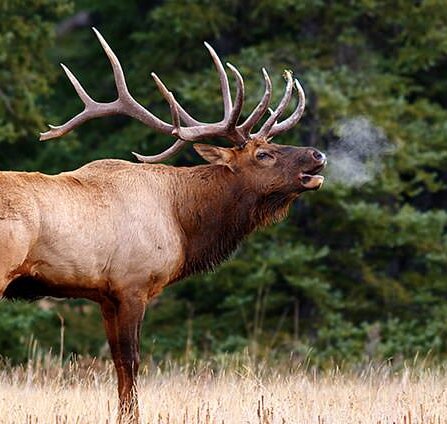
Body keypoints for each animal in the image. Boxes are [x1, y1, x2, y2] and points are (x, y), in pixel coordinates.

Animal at [1, 29, 328, 420]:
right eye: (263, 154)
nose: (317, 154)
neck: (182, 221)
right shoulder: (133, 283)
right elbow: (131, 361)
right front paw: (131, 416)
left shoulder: (104, 294)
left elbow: (117, 362)